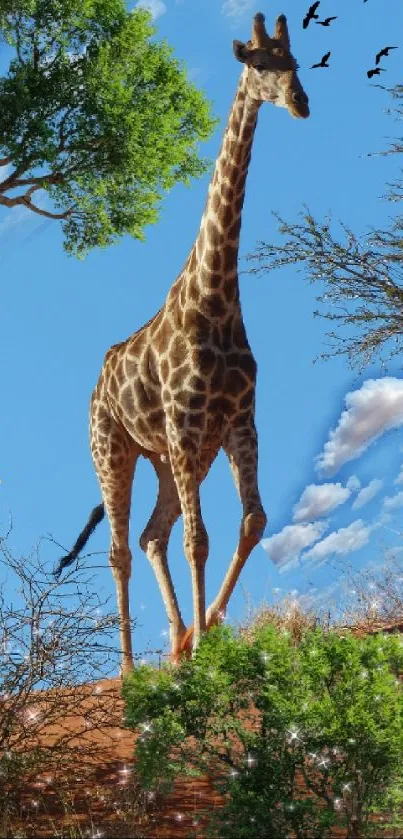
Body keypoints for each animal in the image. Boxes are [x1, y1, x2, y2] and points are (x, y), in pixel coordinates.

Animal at [56, 8, 310, 676]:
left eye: (296, 62)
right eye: (258, 62)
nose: (301, 103)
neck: (214, 300)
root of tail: (96, 387)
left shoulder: (238, 420)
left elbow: (252, 521)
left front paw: (207, 630)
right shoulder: (187, 422)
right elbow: (201, 538)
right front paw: (202, 644)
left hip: (168, 457)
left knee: (151, 535)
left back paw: (176, 641)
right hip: (115, 450)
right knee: (122, 547)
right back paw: (129, 669)